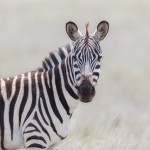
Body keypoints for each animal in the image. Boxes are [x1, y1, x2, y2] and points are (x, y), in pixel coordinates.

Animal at [0, 20, 108, 149]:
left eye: (99, 58)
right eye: (74, 57)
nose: (86, 91)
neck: (49, 93)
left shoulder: (51, 144)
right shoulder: (35, 137)